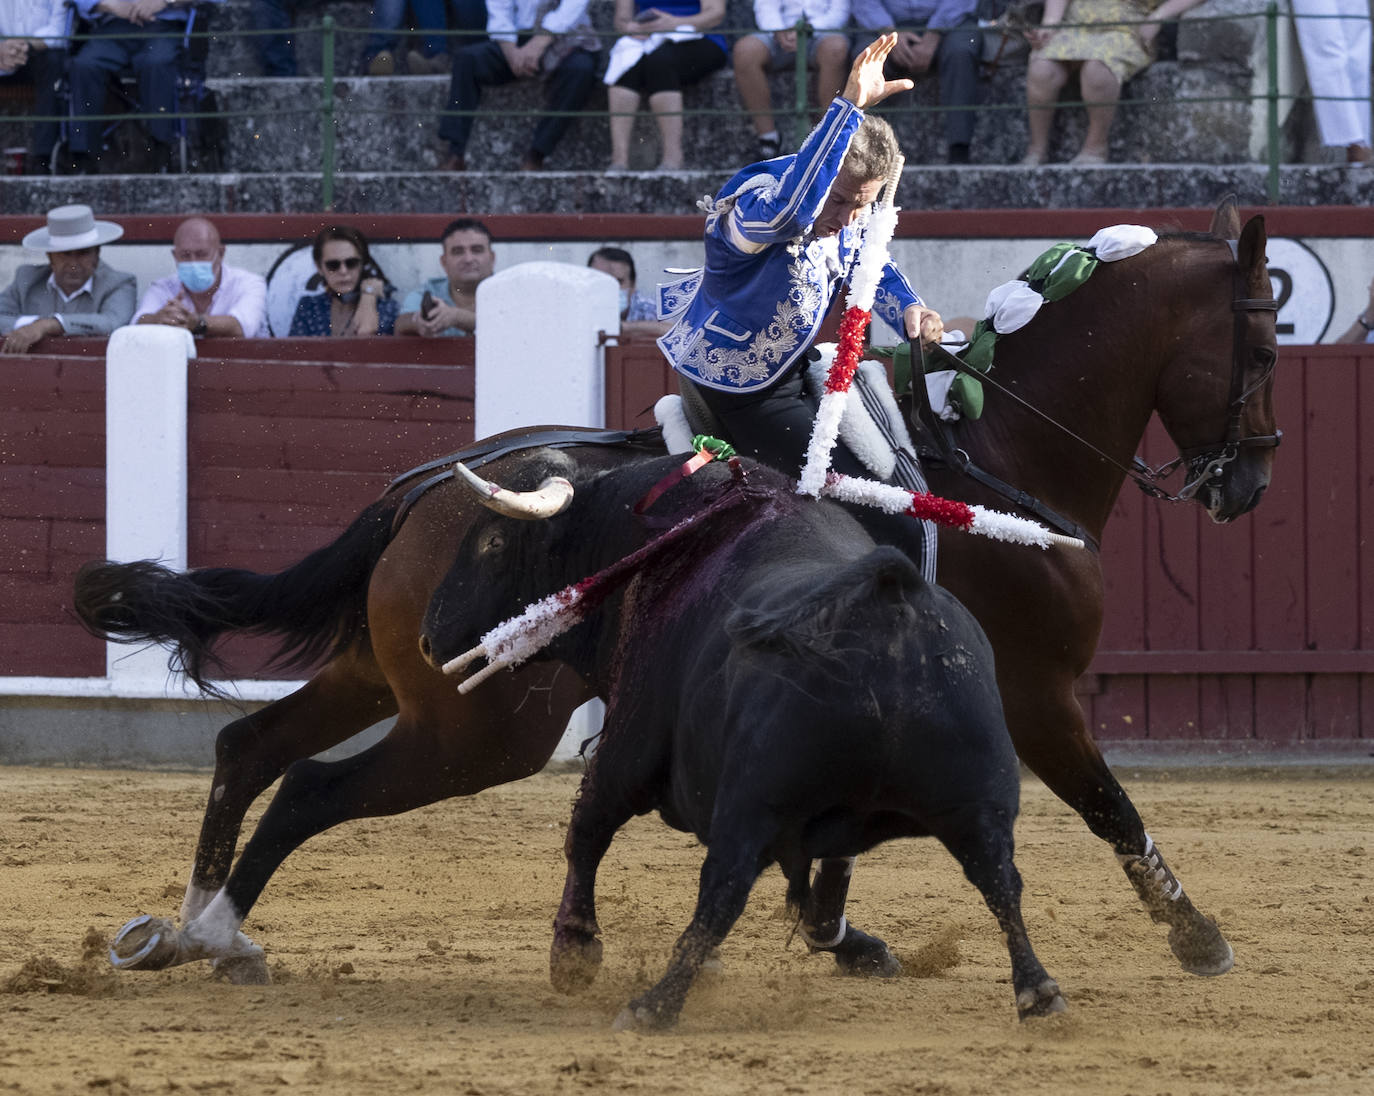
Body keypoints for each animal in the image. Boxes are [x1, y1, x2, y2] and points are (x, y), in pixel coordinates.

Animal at [423, 453, 1066, 1032]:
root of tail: (889, 606)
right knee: (1000, 878)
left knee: (723, 887)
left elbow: (587, 829)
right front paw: (861, 950)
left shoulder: (630, 741)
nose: (429, 639)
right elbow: (815, 899)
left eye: (493, 544)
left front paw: (574, 953)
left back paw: (653, 1005)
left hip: (751, 803)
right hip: (979, 800)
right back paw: (1039, 996)